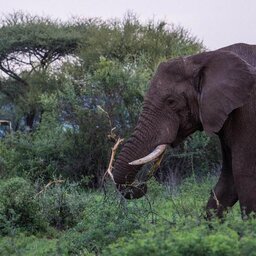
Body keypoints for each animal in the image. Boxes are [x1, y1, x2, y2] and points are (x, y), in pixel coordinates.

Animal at [113, 43, 256, 218]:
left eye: (171, 101)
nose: (142, 184)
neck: (205, 57)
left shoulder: (248, 114)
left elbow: (245, 179)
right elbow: (227, 183)